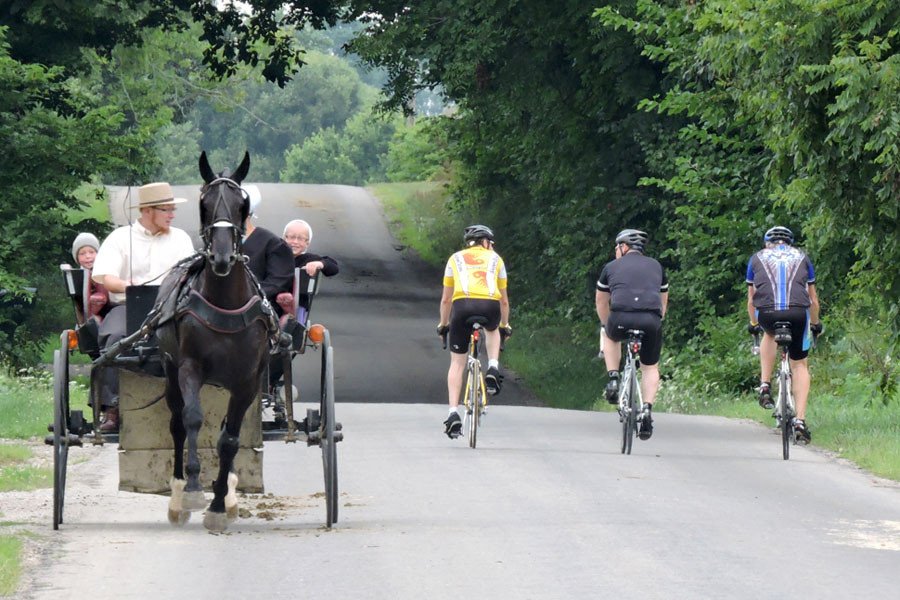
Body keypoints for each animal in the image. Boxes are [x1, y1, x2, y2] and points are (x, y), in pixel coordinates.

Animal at [158, 152, 276, 532]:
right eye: (204, 204)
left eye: (242, 205)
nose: (222, 258)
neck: (224, 300)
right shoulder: (189, 367)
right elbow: (194, 419)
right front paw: (195, 490)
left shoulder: (247, 382)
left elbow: (230, 439)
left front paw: (220, 503)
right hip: (169, 371)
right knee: (177, 425)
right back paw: (178, 497)